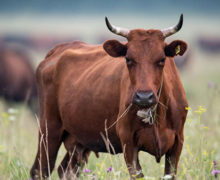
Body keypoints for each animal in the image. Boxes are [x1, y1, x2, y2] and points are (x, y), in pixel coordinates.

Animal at [31, 14, 188, 180]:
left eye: (162, 59)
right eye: (128, 59)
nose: (144, 97)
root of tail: (58, 50)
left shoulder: (178, 141)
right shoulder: (128, 141)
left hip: (78, 139)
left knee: (66, 170)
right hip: (49, 129)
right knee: (40, 170)